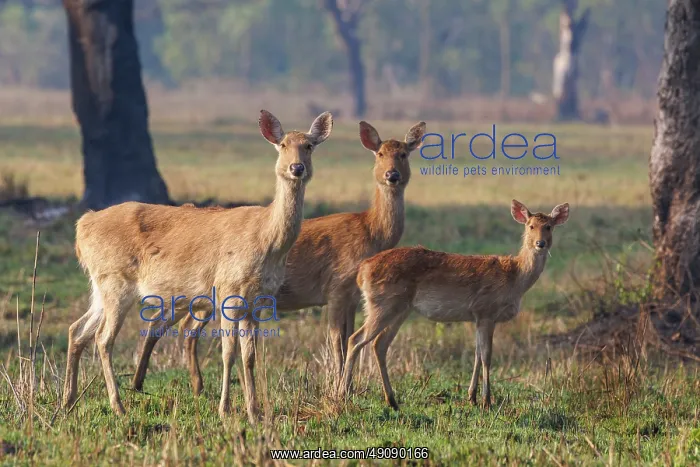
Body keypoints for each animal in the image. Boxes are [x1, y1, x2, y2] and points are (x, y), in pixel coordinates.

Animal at [63, 109, 334, 424]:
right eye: (282, 145)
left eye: (309, 145)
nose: (296, 167)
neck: (268, 241)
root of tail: (82, 226)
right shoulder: (229, 290)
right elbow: (228, 353)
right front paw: (225, 410)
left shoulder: (258, 301)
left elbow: (249, 356)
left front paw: (254, 413)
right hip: (116, 281)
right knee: (103, 338)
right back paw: (118, 406)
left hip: (99, 284)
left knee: (77, 329)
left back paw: (68, 401)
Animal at [130, 120, 427, 396]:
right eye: (379, 153)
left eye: (404, 154)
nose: (392, 175)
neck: (371, 232)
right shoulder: (336, 288)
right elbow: (337, 340)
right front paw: (337, 387)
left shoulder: (353, 296)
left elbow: (347, 338)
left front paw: (347, 386)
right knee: (172, 324)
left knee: (174, 325)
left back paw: (180, 384)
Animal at [339, 199, 570, 410]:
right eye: (530, 225)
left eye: (549, 226)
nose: (540, 243)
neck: (515, 278)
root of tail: (362, 271)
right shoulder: (486, 311)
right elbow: (487, 355)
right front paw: (487, 401)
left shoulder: (477, 317)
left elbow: (477, 353)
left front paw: (472, 397)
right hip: (382, 304)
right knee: (355, 339)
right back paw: (343, 394)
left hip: (399, 309)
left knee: (379, 344)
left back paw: (392, 401)